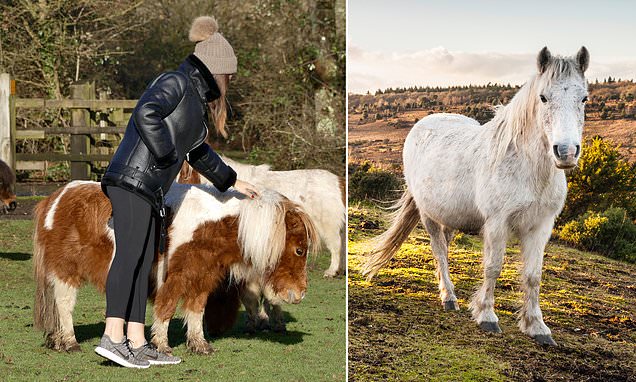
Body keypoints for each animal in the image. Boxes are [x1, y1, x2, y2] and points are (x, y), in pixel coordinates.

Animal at [32, 181, 318, 354]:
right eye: (299, 250)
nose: (300, 294)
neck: (207, 224)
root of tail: (55, 198)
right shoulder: (173, 278)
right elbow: (166, 309)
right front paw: (161, 345)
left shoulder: (202, 277)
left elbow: (196, 310)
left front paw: (199, 345)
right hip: (65, 273)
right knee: (64, 306)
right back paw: (70, 342)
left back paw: (57, 340)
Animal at [366, 45, 588, 346]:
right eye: (543, 97)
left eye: (584, 98)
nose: (565, 152)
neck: (528, 168)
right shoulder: (497, 223)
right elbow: (493, 267)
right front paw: (487, 316)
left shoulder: (541, 227)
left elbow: (533, 276)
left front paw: (537, 327)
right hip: (429, 215)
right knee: (439, 250)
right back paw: (449, 298)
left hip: (450, 217)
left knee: (445, 247)